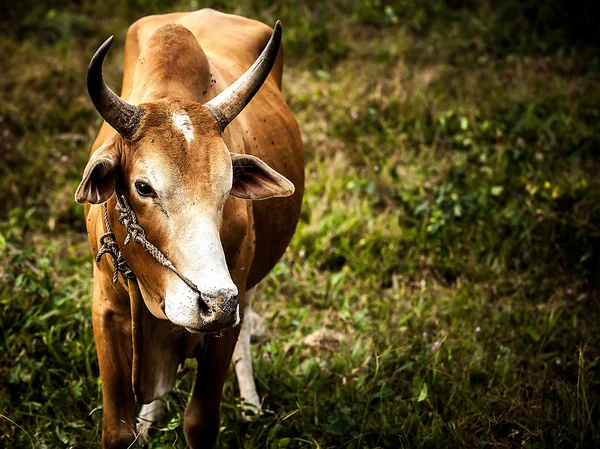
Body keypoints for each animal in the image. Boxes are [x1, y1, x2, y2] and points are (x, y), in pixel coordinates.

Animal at [76, 8, 304, 446]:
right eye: (143, 187)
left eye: (228, 186)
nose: (215, 303)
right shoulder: (106, 314)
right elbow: (117, 429)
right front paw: (141, 421)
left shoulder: (227, 318)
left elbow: (200, 422)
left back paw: (250, 403)